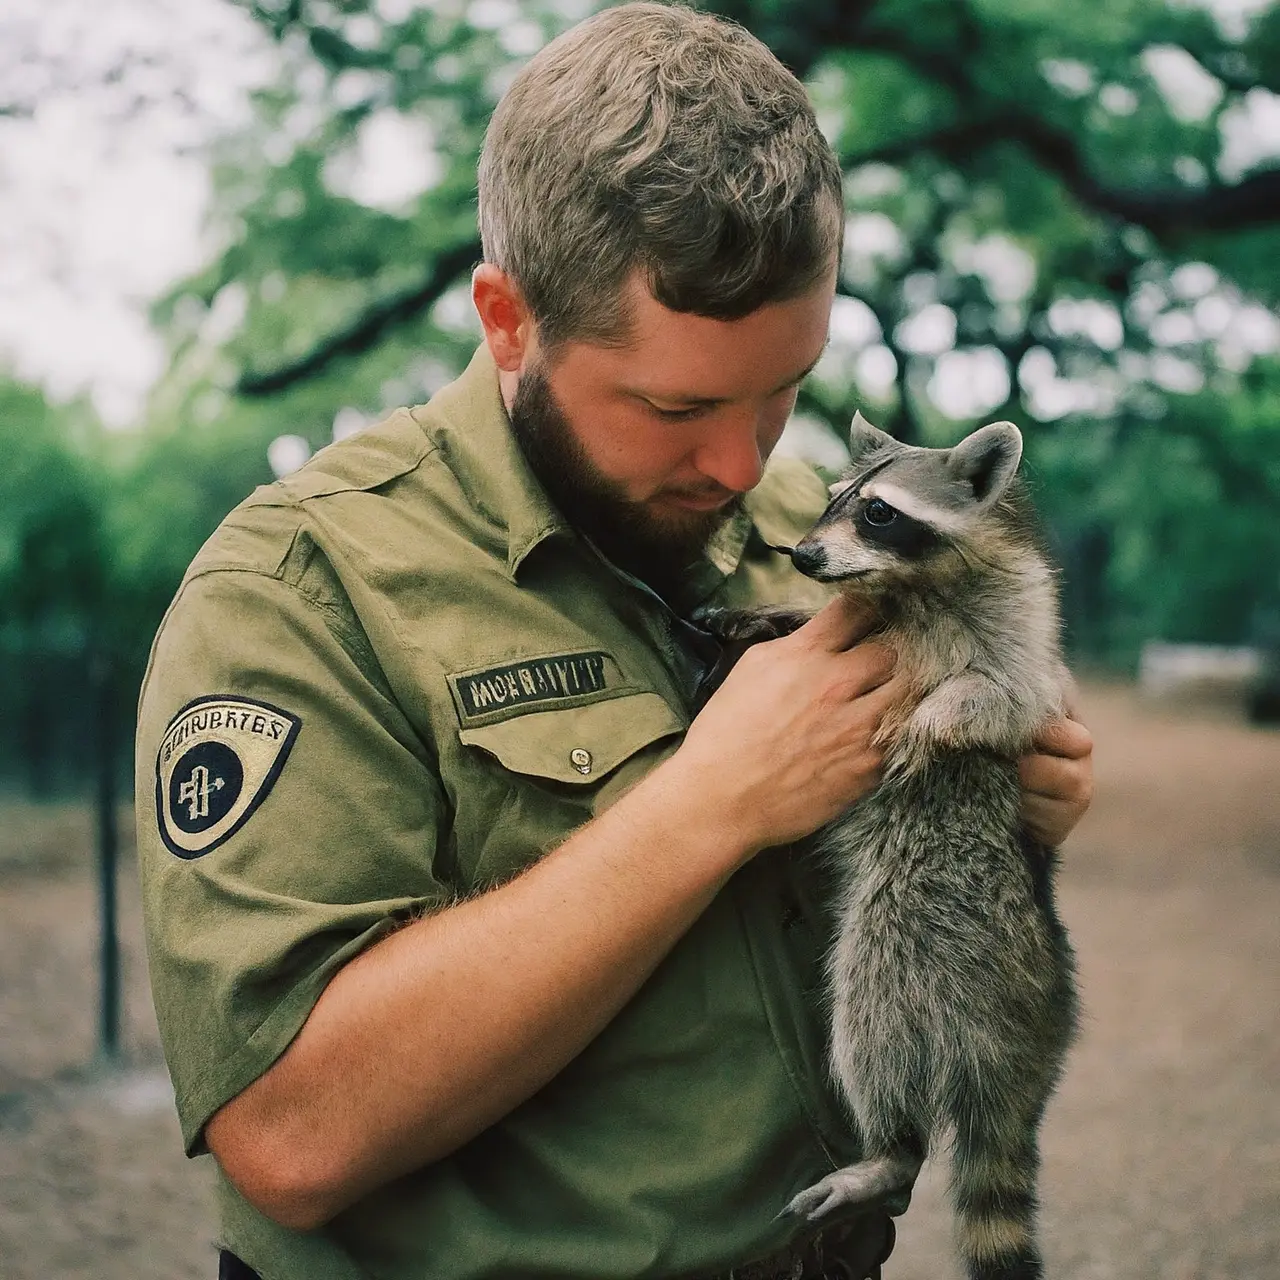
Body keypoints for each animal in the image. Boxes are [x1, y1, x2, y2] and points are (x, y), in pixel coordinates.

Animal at [706, 414, 1075, 1274]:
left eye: (878, 512)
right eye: (831, 497)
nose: (802, 556)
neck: (907, 587)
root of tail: (1033, 1033)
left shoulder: (1026, 625)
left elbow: (1006, 694)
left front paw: (938, 711)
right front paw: (774, 615)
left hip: (935, 934)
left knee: (870, 1009)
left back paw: (891, 1151)